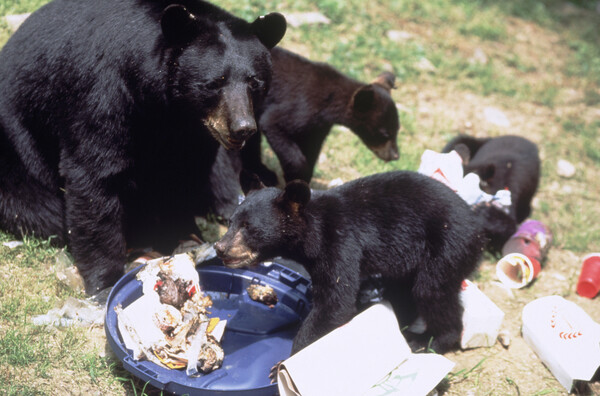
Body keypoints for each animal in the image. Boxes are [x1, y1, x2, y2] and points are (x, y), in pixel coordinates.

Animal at [0, 0, 286, 290]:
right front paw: (105, 280)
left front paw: (183, 235)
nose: (243, 127)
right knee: (40, 209)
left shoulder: (194, 131)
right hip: (17, 159)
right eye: (215, 83)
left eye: (255, 82)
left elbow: (183, 173)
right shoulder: (102, 94)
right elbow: (94, 176)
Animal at [213, 170, 486, 352]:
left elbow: (335, 303)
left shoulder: (340, 243)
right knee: (404, 291)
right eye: (231, 222)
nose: (220, 248)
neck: (313, 232)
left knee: (432, 291)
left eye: (249, 228)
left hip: (446, 247)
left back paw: (430, 340)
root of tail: (478, 232)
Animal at [239, 47, 398, 186]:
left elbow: (312, 149)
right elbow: (273, 124)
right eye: (385, 134)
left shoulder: (318, 127)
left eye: (397, 129)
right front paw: (296, 175)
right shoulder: (299, 108)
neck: (329, 103)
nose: (396, 155)